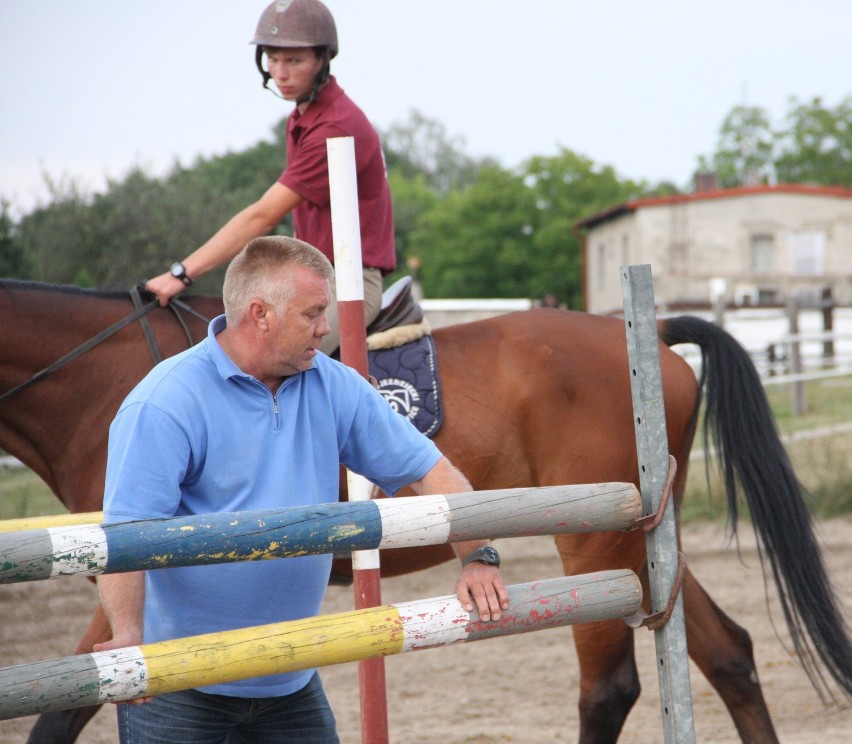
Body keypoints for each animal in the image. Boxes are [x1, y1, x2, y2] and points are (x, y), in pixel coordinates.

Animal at [0, 280, 848, 744]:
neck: (97, 379)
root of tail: (644, 332)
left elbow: (62, 714)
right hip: (643, 541)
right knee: (727, 652)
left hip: (594, 541)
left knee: (610, 689)